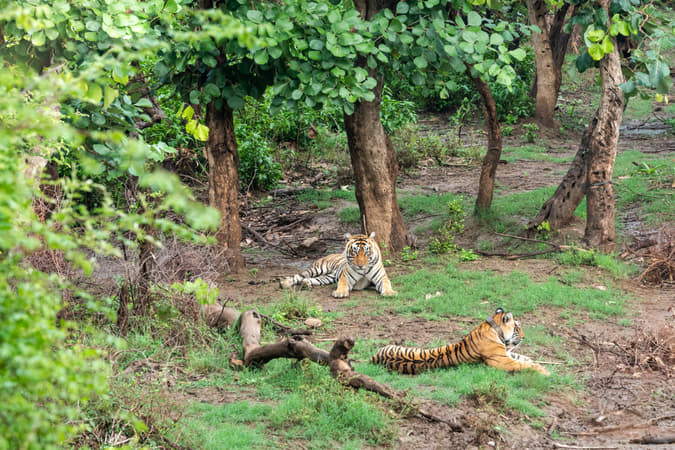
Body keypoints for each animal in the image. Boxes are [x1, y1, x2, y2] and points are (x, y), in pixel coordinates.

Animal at [370, 308, 550, 376]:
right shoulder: (502, 361)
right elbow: (523, 364)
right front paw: (545, 371)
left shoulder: (506, 354)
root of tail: (373, 358)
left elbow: (524, 358)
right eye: (517, 328)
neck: (492, 328)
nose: (524, 337)